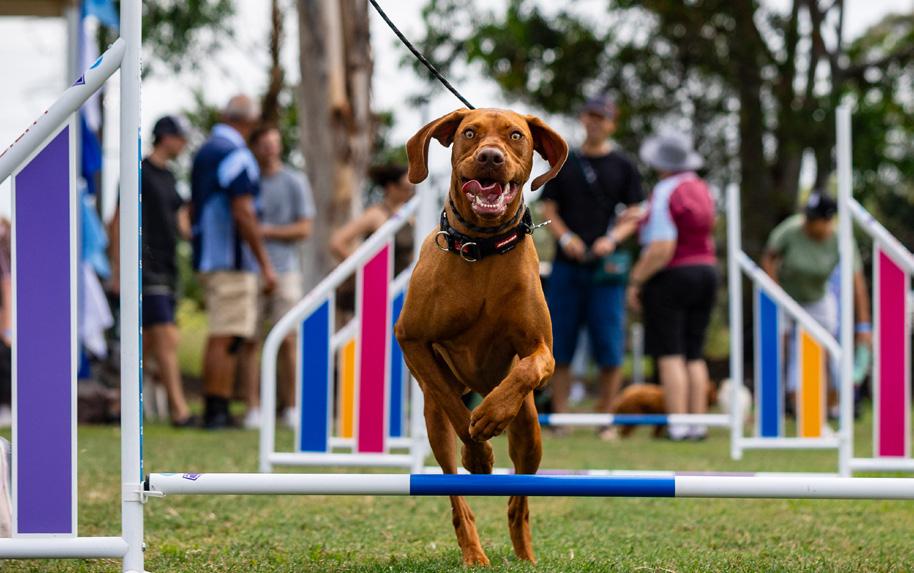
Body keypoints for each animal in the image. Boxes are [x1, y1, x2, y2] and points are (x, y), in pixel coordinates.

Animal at [395, 108, 568, 566]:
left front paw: (491, 414)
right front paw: (478, 452)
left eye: (516, 135)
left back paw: (525, 555)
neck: (483, 248)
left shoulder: (541, 349)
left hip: (530, 431)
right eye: (470, 133)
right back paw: (474, 551)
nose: (491, 157)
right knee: (456, 493)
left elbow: (530, 368)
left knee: (518, 500)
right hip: (432, 424)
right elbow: (458, 414)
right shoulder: (411, 340)